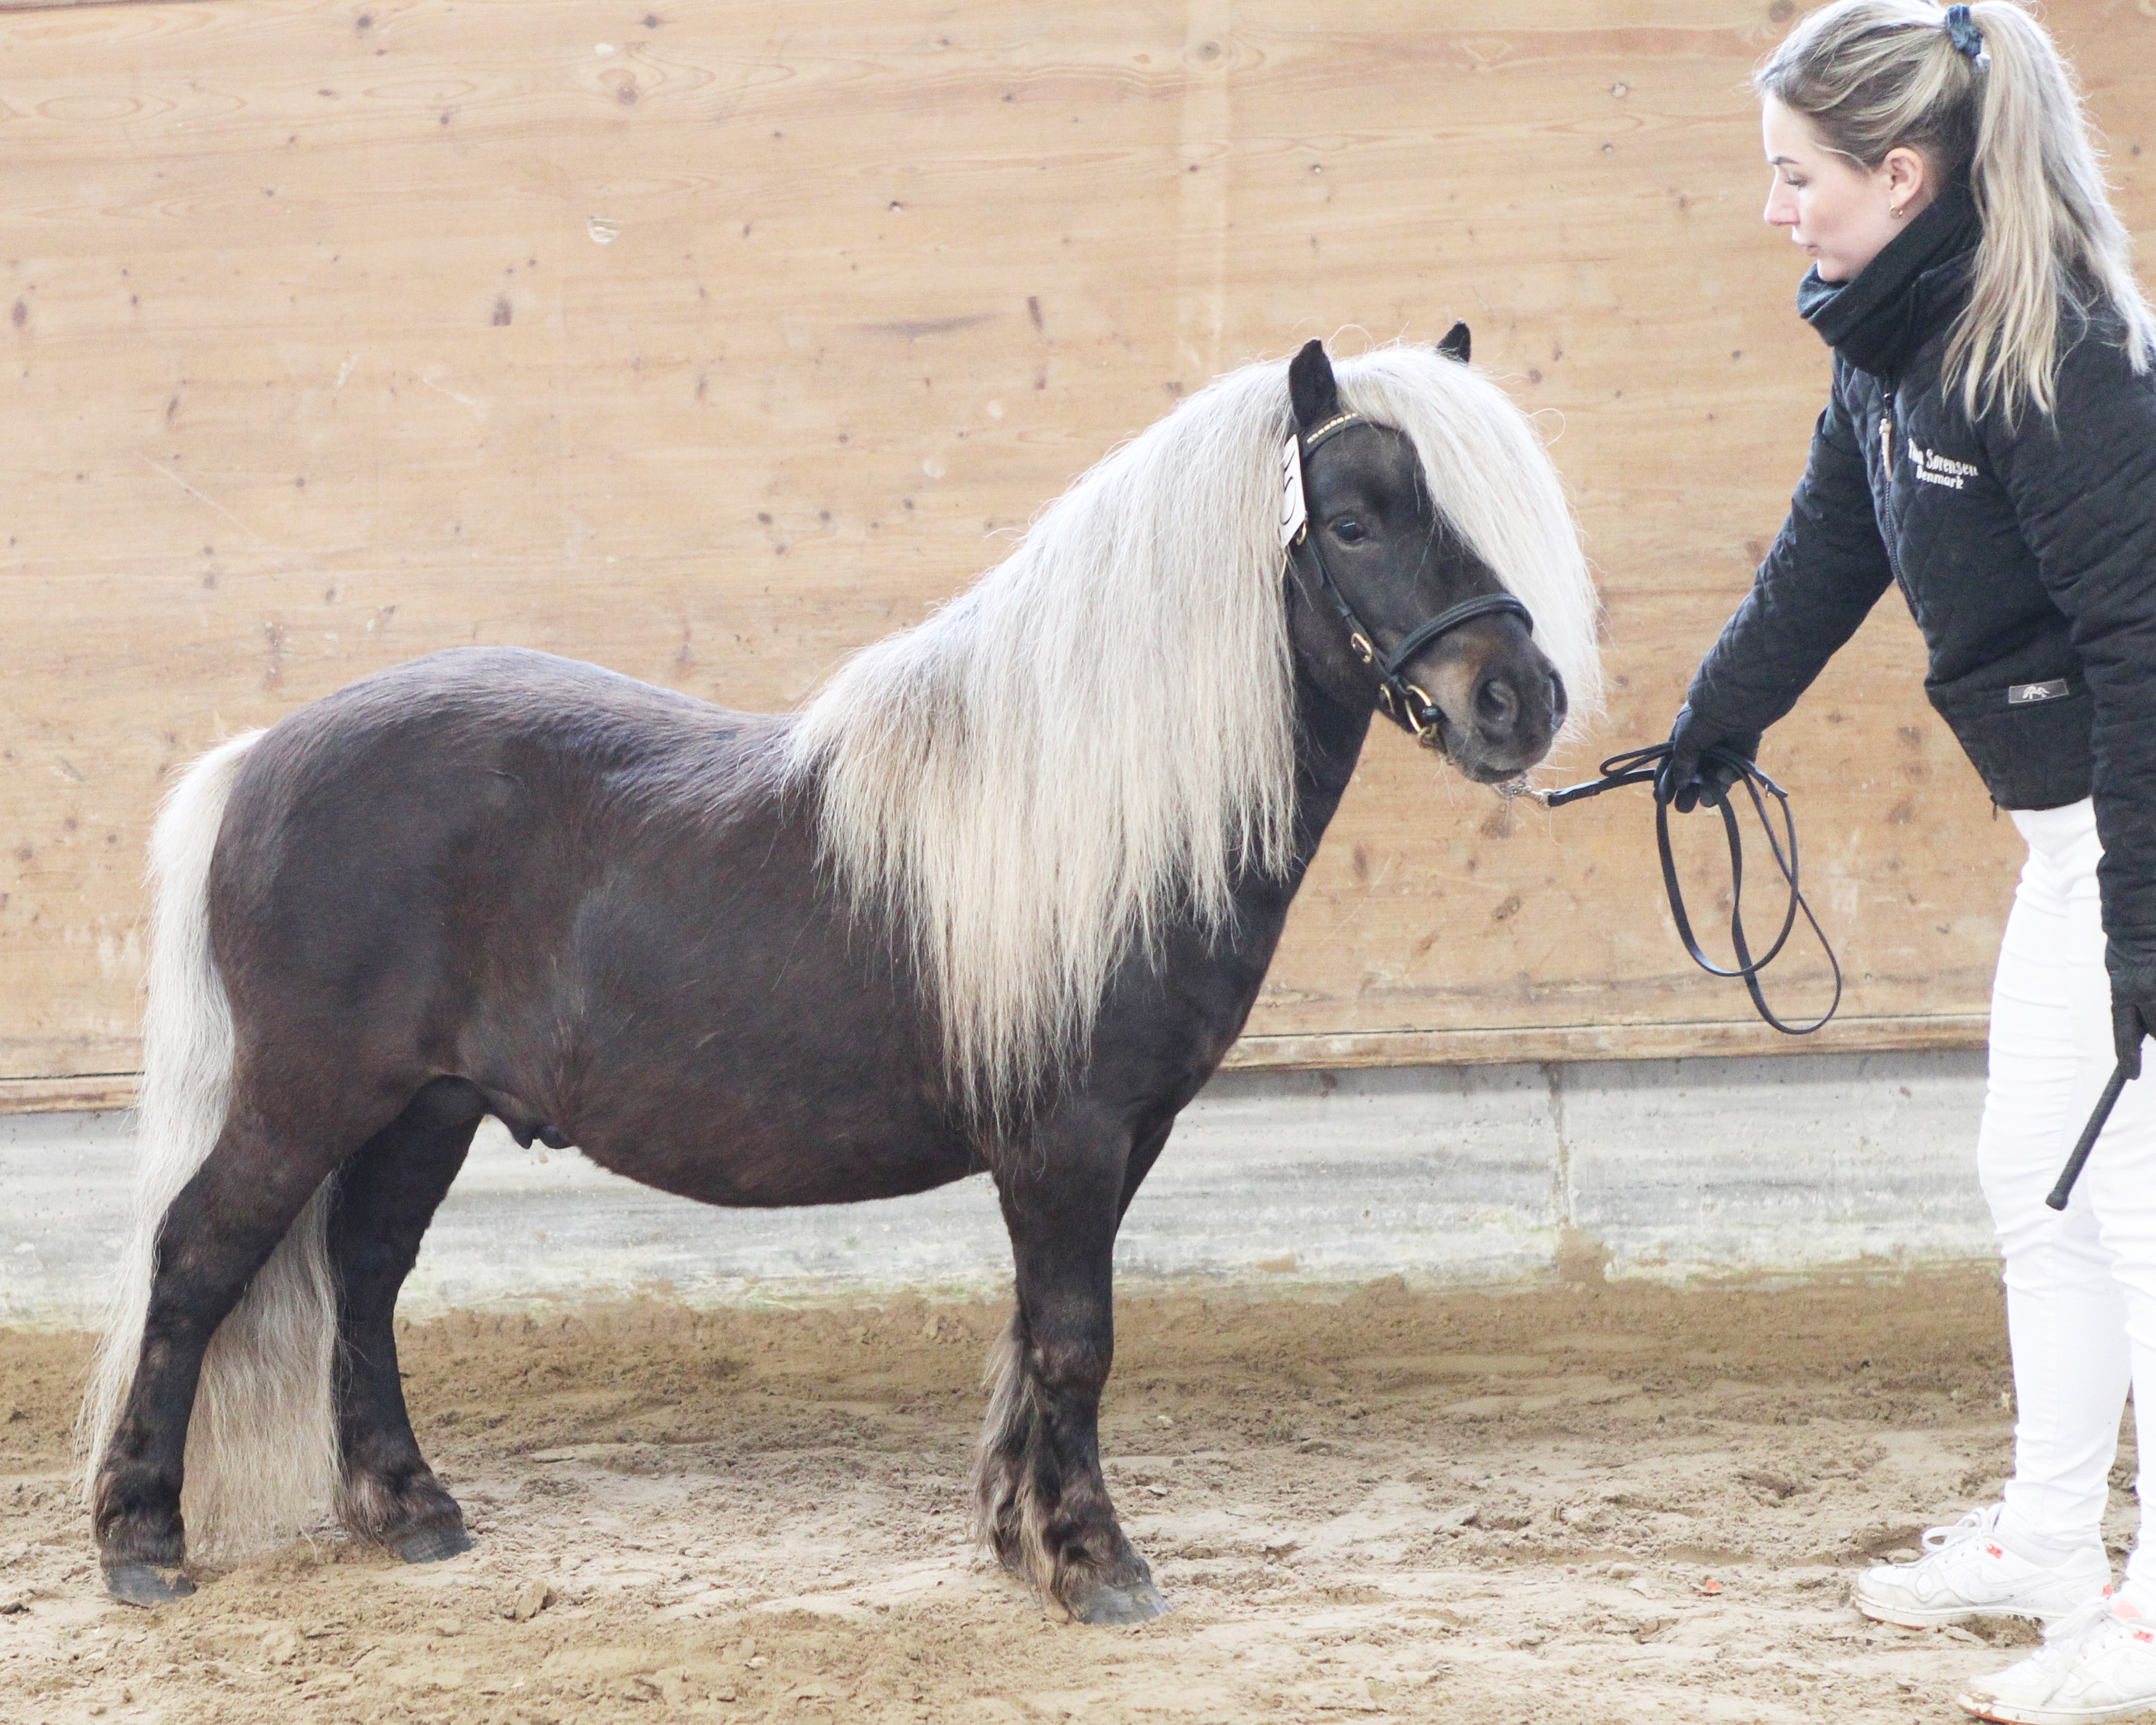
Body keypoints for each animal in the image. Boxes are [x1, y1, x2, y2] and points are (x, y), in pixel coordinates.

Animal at [79, 334, 1604, 1621]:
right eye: (1353, 521)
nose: (1516, 702)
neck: (1085, 810)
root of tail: (262, 758)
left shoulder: (1115, 1140)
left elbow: (1036, 1333)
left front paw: (1021, 1535)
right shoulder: (1066, 1138)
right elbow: (1075, 1341)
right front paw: (1094, 1562)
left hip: (426, 1106)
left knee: (366, 1271)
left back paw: (407, 1509)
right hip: (312, 1094)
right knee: (197, 1258)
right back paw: (141, 1542)